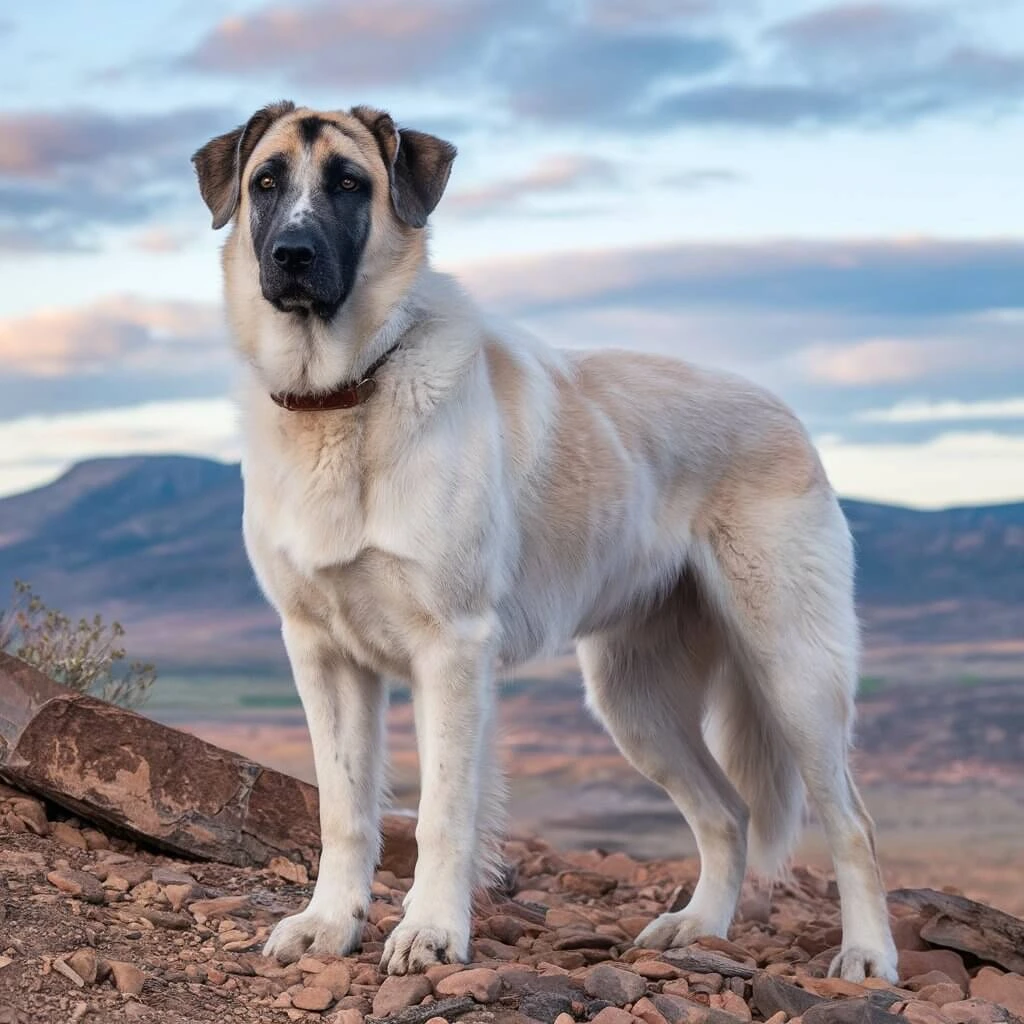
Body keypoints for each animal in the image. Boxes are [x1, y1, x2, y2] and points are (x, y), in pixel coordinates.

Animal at [192, 99, 897, 978]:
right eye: (265, 183)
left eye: (350, 183)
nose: (292, 254)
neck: (350, 391)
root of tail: (783, 411)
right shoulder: (321, 651)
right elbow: (344, 809)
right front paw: (329, 922)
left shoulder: (452, 651)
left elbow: (442, 813)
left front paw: (431, 931)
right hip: (635, 701)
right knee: (727, 814)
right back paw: (699, 926)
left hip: (793, 671)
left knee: (853, 824)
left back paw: (868, 956)